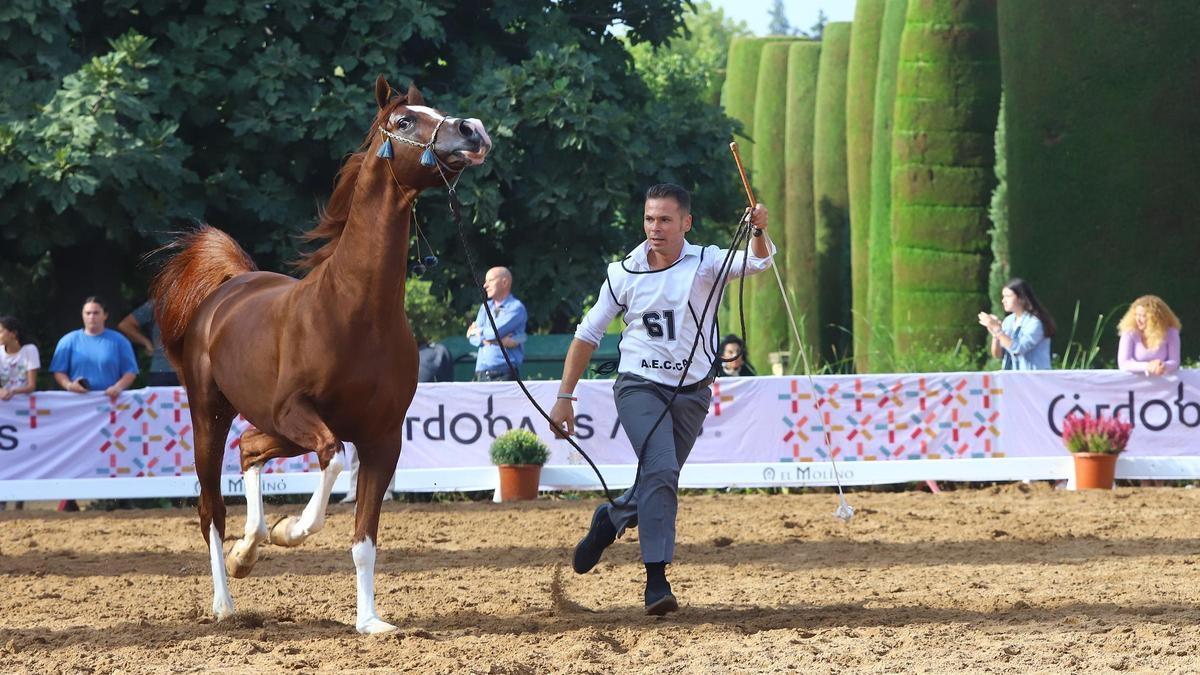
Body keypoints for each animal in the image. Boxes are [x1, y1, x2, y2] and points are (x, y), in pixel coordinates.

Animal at [151, 75, 491, 634]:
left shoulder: (382, 438)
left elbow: (364, 539)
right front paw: (290, 530)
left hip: (273, 428)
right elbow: (332, 461)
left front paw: (370, 622)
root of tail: (228, 287)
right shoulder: (301, 413)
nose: (472, 130)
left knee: (250, 448)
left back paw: (248, 551)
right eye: (403, 121)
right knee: (211, 510)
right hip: (212, 415)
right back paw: (226, 601)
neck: (355, 311)